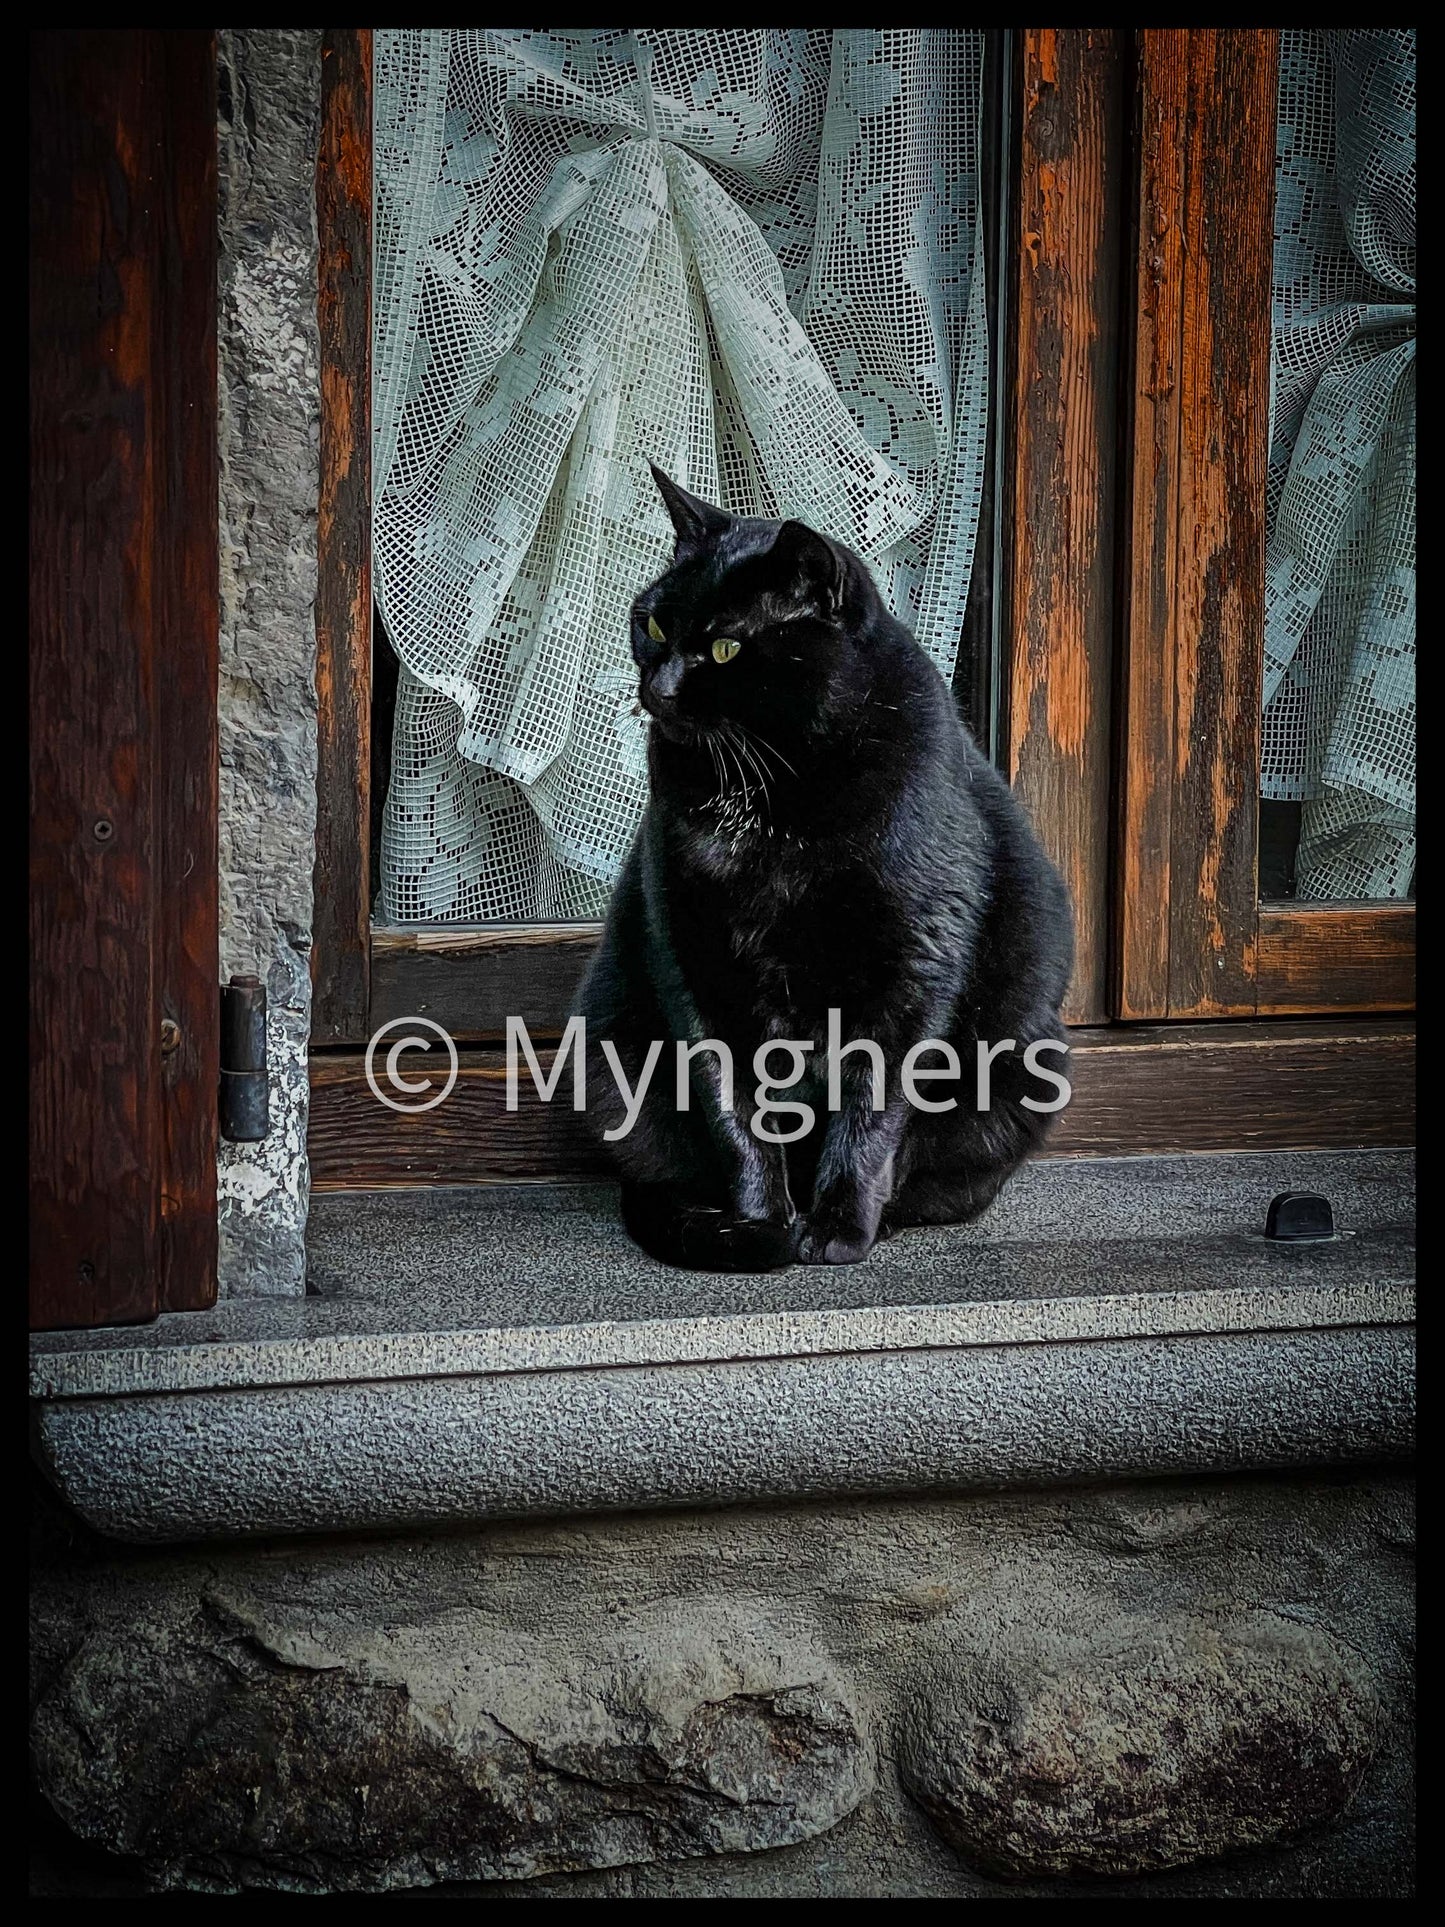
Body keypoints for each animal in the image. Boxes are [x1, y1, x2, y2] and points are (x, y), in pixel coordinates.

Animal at [578, 466, 1078, 1271]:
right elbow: (734, 1107)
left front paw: (837, 1226)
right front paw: (759, 1225)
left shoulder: (912, 967)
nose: (658, 688)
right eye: (652, 625)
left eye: (726, 649)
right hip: (608, 1063)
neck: (769, 798)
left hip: (1028, 1066)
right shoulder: (691, 954)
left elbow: (872, 1107)